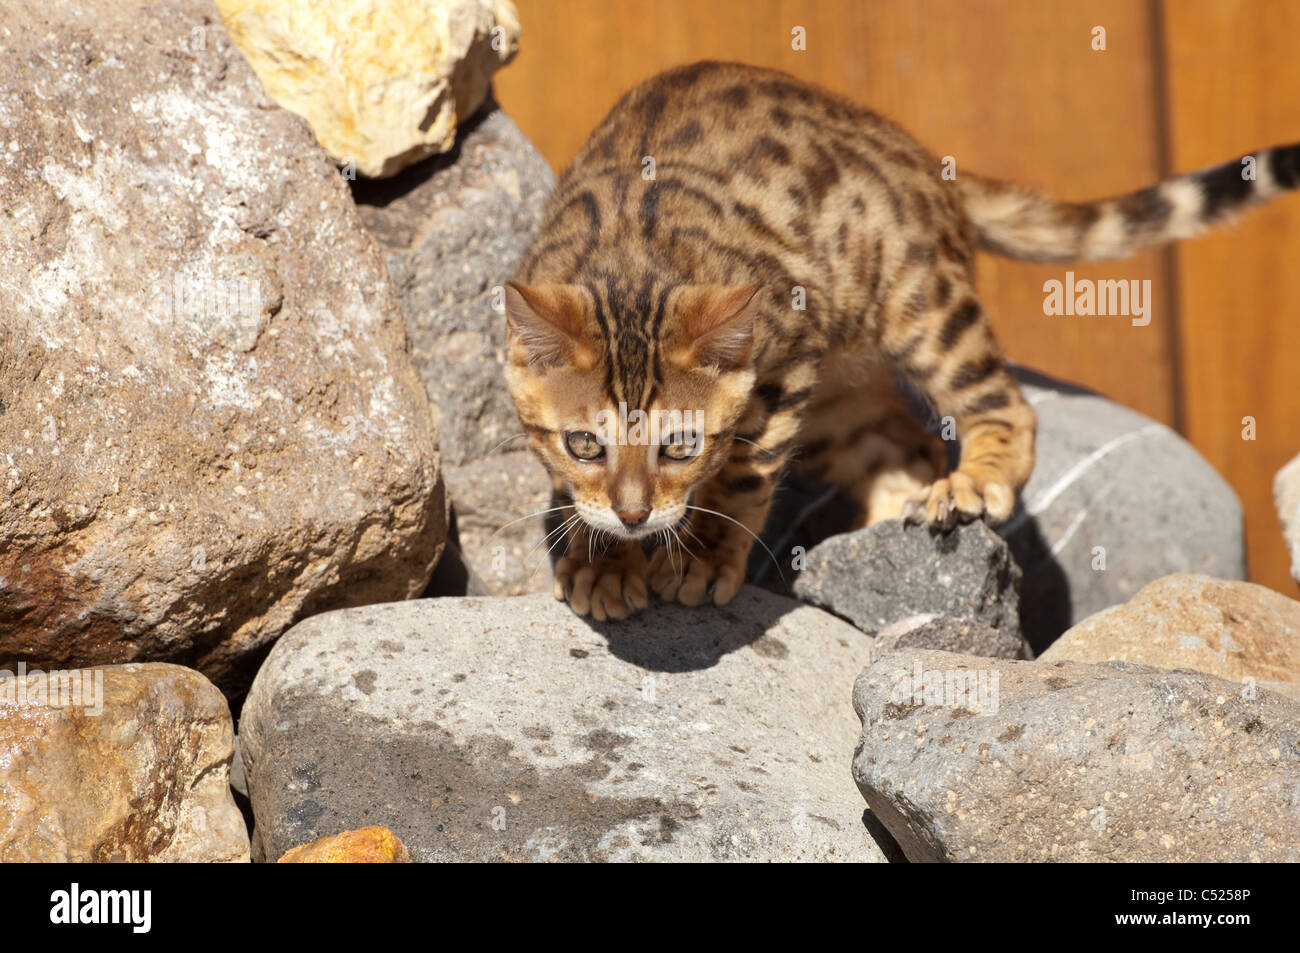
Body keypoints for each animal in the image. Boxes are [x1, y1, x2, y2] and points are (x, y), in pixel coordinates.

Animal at [501, 63, 1294, 621]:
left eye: (681, 445)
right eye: (584, 444)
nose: (635, 515)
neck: (633, 263)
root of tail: (916, 150)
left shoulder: (784, 361)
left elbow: (744, 475)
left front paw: (699, 555)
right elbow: (576, 494)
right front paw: (604, 561)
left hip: (922, 306)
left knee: (1005, 407)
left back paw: (968, 485)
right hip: (840, 399)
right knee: (904, 443)